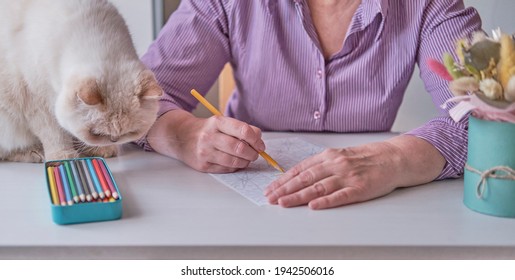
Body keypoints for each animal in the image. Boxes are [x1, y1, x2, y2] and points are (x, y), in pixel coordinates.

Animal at [0, 0, 163, 162]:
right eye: (96, 134)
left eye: (130, 133)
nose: (114, 139)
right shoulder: (39, 101)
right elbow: (55, 135)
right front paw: (63, 157)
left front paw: (100, 150)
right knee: (8, 152)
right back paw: (35, 153)